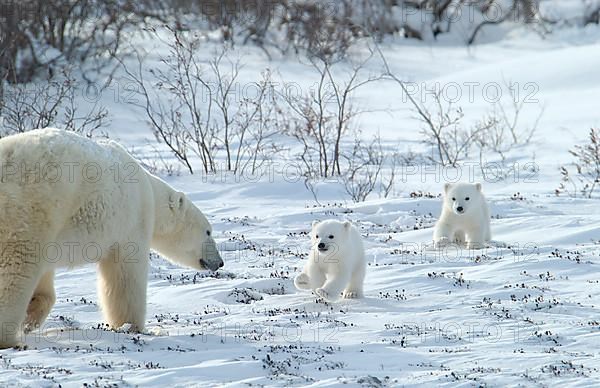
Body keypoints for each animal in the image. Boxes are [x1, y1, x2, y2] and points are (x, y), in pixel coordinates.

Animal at [0, 128, 223, 348]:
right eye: (208, 232)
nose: (219, 262)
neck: (149, 191)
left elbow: (45, 280)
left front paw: (31, 316)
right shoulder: (132, 221)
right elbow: (126, 275)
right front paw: (132, 327)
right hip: (35, 206)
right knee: (17, 268)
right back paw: (10, 338)